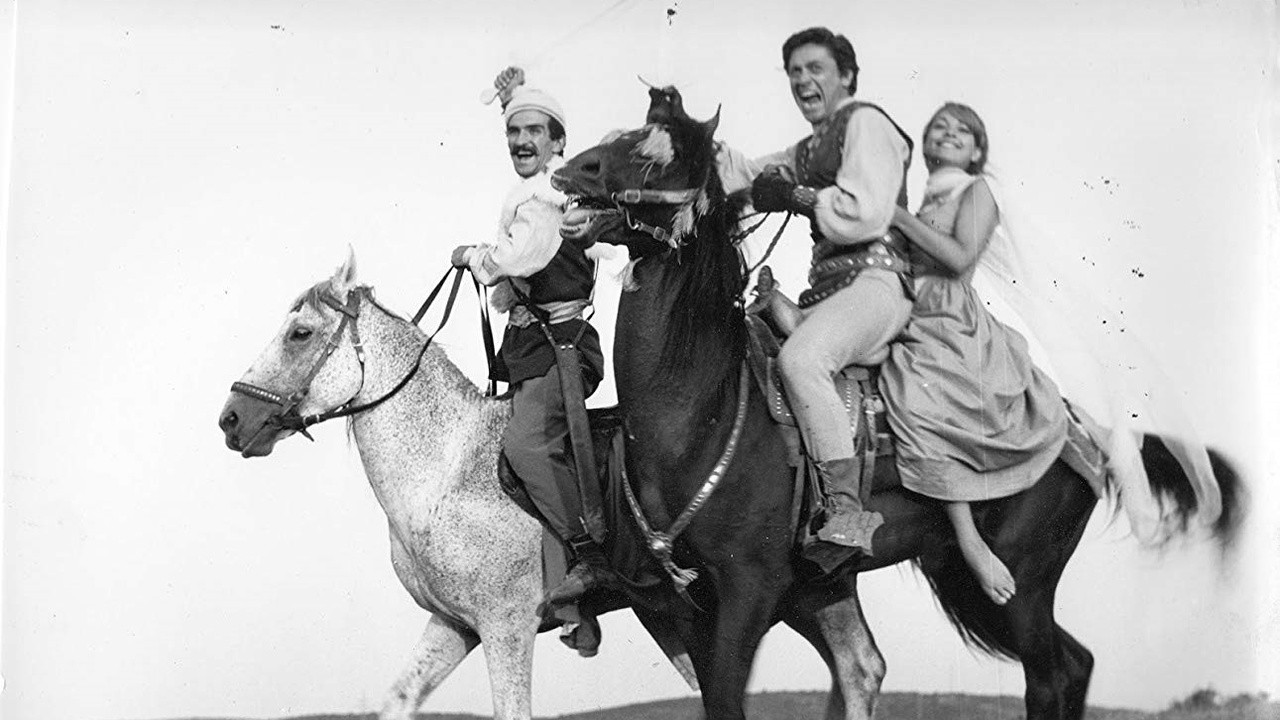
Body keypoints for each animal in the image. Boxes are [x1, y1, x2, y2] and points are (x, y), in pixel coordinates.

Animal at [548, 86, 1243, 720]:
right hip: (940, 577)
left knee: (1052, 676)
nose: (572, 169)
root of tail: (1090, 434)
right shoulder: (692, 602)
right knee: (1052, 664)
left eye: (658, 159)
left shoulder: (749, 590)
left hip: (1019, 584)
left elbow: (728, 699)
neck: (702, 414)